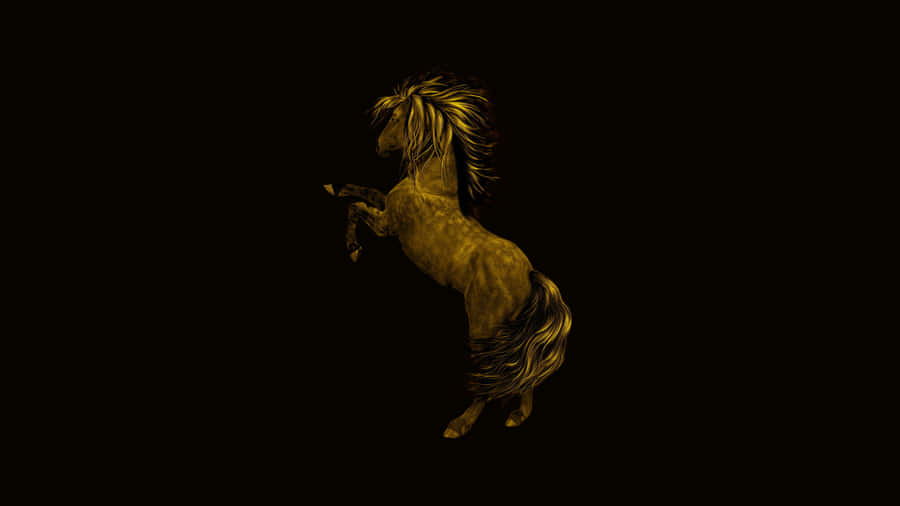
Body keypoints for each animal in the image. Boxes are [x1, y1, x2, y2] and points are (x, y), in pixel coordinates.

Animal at [324, 72, 572, 438]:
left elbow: (356, 208)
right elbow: (362, 191)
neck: (430, 187)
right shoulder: (386, 209)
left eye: (394, 117)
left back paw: (459, 425)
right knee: (522, 371)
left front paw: (353, 250)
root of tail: (529, 275)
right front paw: (331, 187)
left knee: (491, 375)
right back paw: (518, 415)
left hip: (483, 326)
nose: (379, 147)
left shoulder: (387, 226)